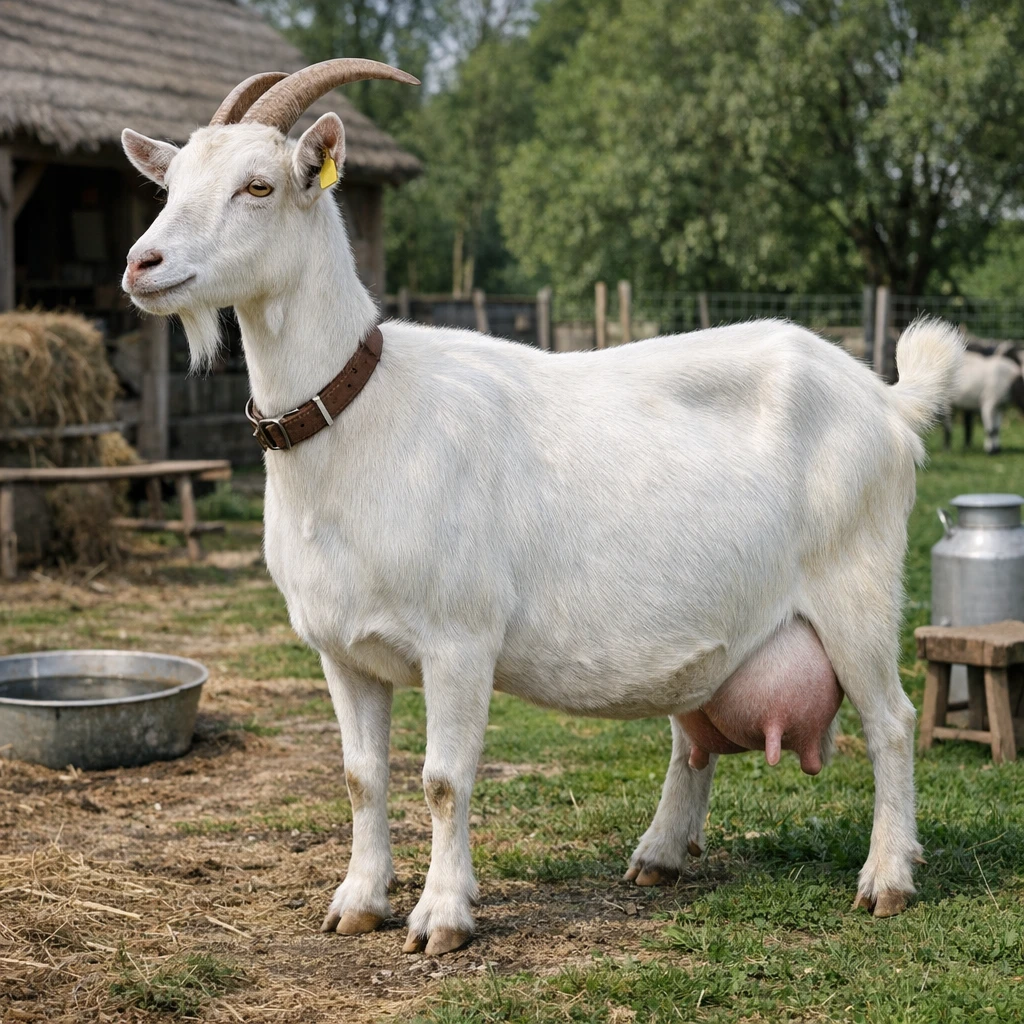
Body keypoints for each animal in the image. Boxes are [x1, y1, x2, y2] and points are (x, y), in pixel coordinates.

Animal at [121, 60, 964, 956]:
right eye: (170, 182)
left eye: (259, 185)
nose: (143, 263)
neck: (360, 420)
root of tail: (887, 399)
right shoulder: (341, 651)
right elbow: (359, 777)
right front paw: (357, 902)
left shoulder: (460, 638)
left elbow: (444, 780)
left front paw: (441, 917)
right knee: (692, 737)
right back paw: (660, 854)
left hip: (856, 587)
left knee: (892, 721)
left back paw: (887, 879)